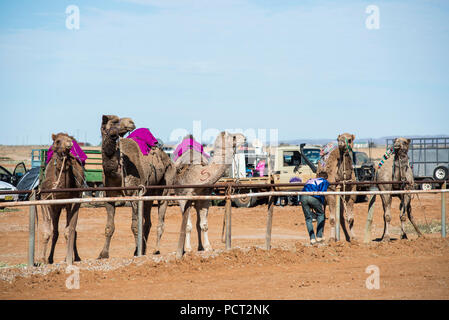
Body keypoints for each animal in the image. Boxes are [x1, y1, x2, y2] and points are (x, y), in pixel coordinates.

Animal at [40, 132, 86, 264]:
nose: (69, 144)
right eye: (58, 141)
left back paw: (76, 257)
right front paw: (42, 260)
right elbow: (48, 232)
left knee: (72, 231)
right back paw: (50, 258)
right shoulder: (46, 199)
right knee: (55, 232)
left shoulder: (75, 200)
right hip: (56, 207)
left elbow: (69, 231)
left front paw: (68, 259)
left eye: (70, 139)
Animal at [98, 115, 175, 258]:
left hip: (167, 183)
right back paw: (144, 248)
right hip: (149, 192)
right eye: (115, 121)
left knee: (160, 219)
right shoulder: (108, 195)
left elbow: (134, 226)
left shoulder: (134, 194)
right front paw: (103, 254)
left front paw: (137, 251)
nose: (131, 122)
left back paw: (156, 250)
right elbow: (109, 226)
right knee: (147, 222)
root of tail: (169, 158)